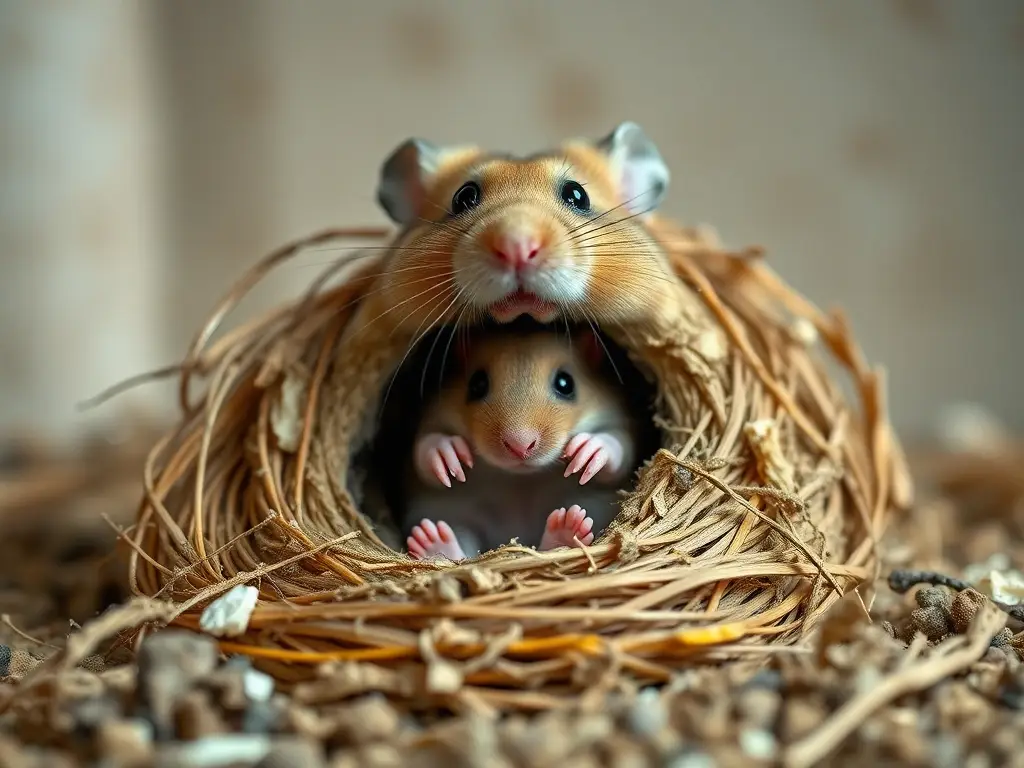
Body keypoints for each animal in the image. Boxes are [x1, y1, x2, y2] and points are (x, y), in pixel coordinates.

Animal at [401, 324, 639, 561]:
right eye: (477, 384)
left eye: (565, 384)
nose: (520, 446)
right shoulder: (434, 418)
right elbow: (423, 451)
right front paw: (445, 451)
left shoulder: (615, 419)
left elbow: (620, 449)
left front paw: (591, 448)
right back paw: (435, 545)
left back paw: (565, 531)